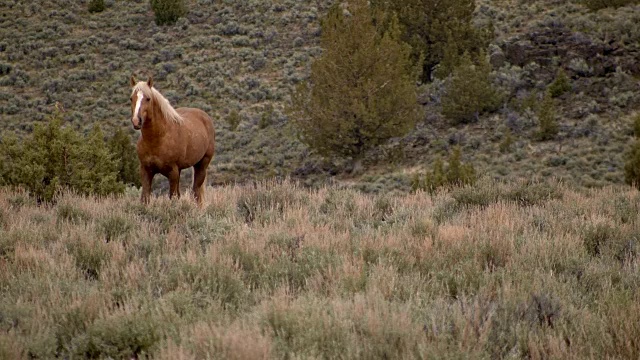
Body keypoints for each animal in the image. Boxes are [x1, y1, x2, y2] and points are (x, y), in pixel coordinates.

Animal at [129, 75, 215, 205]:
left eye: (148, 98)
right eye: (131, 98)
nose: (136, 121)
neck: (157, 140)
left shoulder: (173, 172)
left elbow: (172, 197)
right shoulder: (145, 170)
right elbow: (145, 198)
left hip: (202, 164)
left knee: (196, 192)